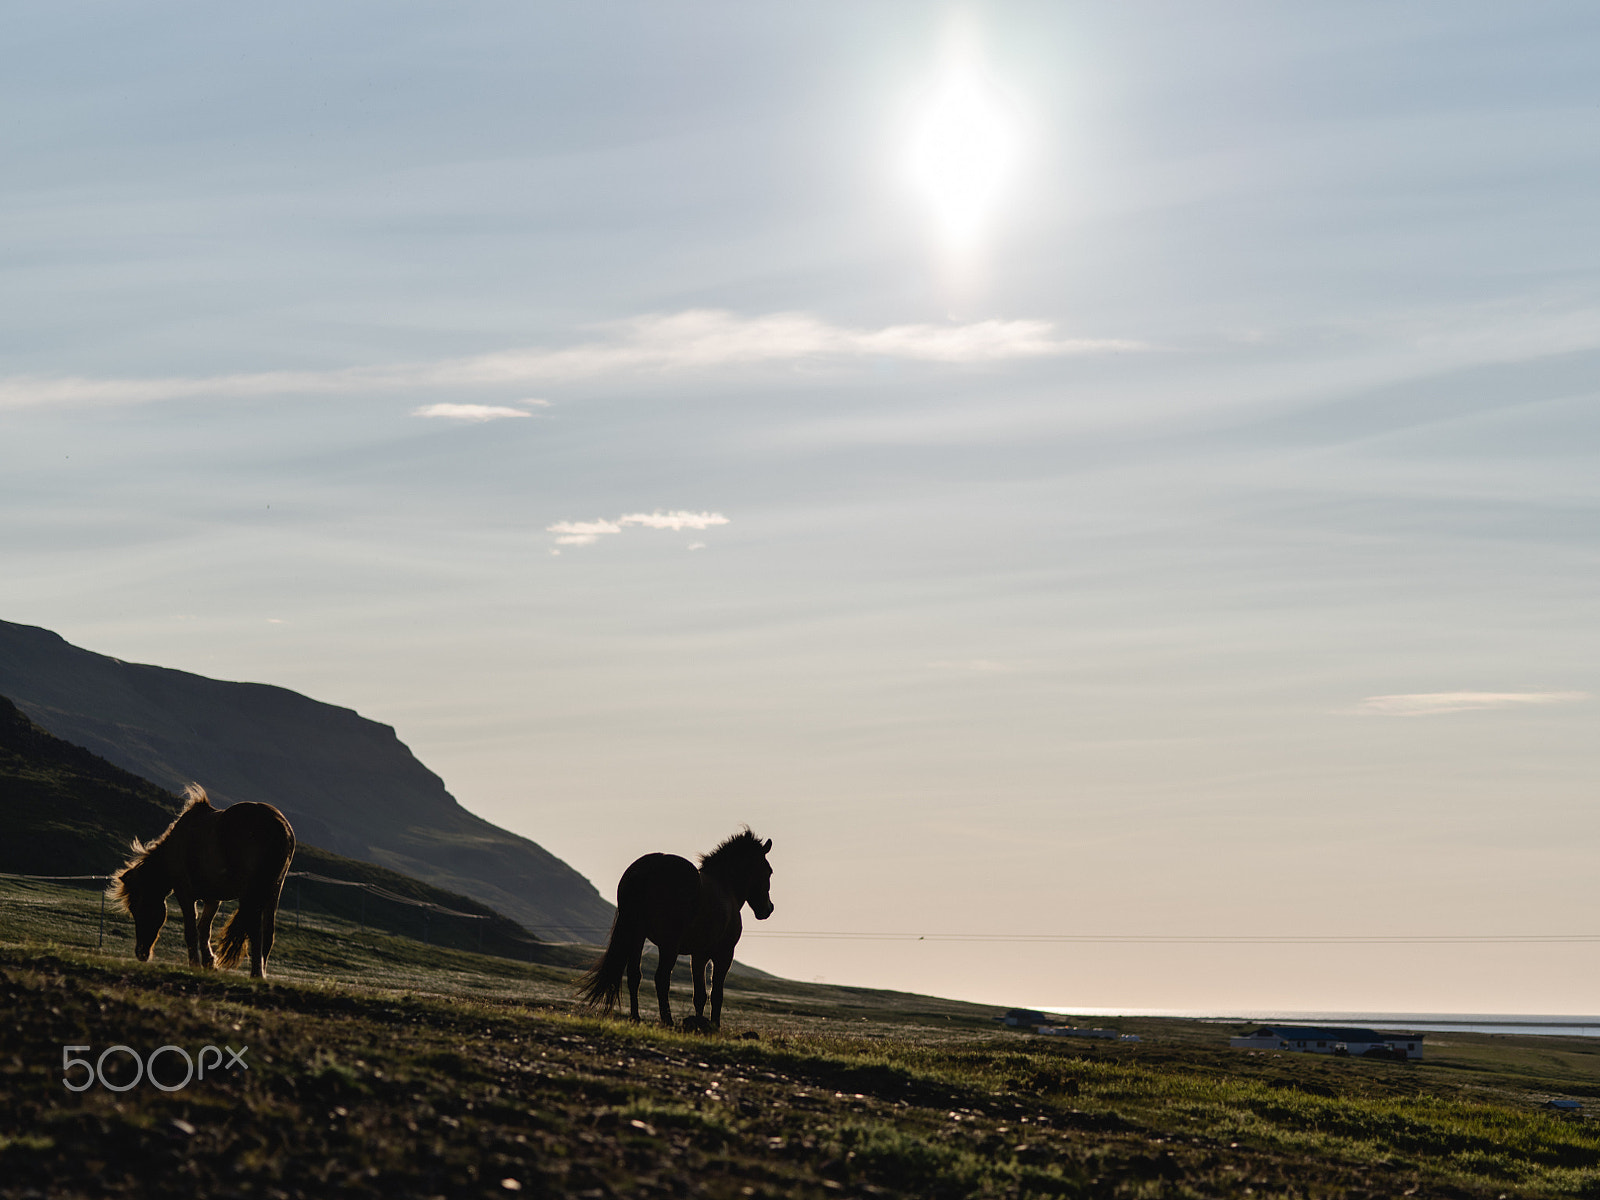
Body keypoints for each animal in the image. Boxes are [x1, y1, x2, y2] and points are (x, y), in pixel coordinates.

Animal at [108, 784, 296, 979]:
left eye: (137, 908)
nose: (141, 953)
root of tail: (280, 827)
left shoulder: (184, 893)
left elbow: (191, 930)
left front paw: (195, 964)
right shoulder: (213, 899)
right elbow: (204, 930)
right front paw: (209, 963)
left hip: (252, 892)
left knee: (255, 929)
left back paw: (256, 973)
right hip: (273, 891)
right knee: (268, 932)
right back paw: (261, 972)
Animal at [576, 825, 774, 1036]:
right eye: (769, 871)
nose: (768, 909)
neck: (726, 889)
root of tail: (649, 867)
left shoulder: (699, 955)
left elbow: (700, 995)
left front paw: (700, 1023)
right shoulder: (723, 954)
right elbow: (716, 993)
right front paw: (714, 1025)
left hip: (638, 936)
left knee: (635, 975)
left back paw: (636, 1017)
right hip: (668, 945)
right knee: (661, 978)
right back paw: (667, 1020)